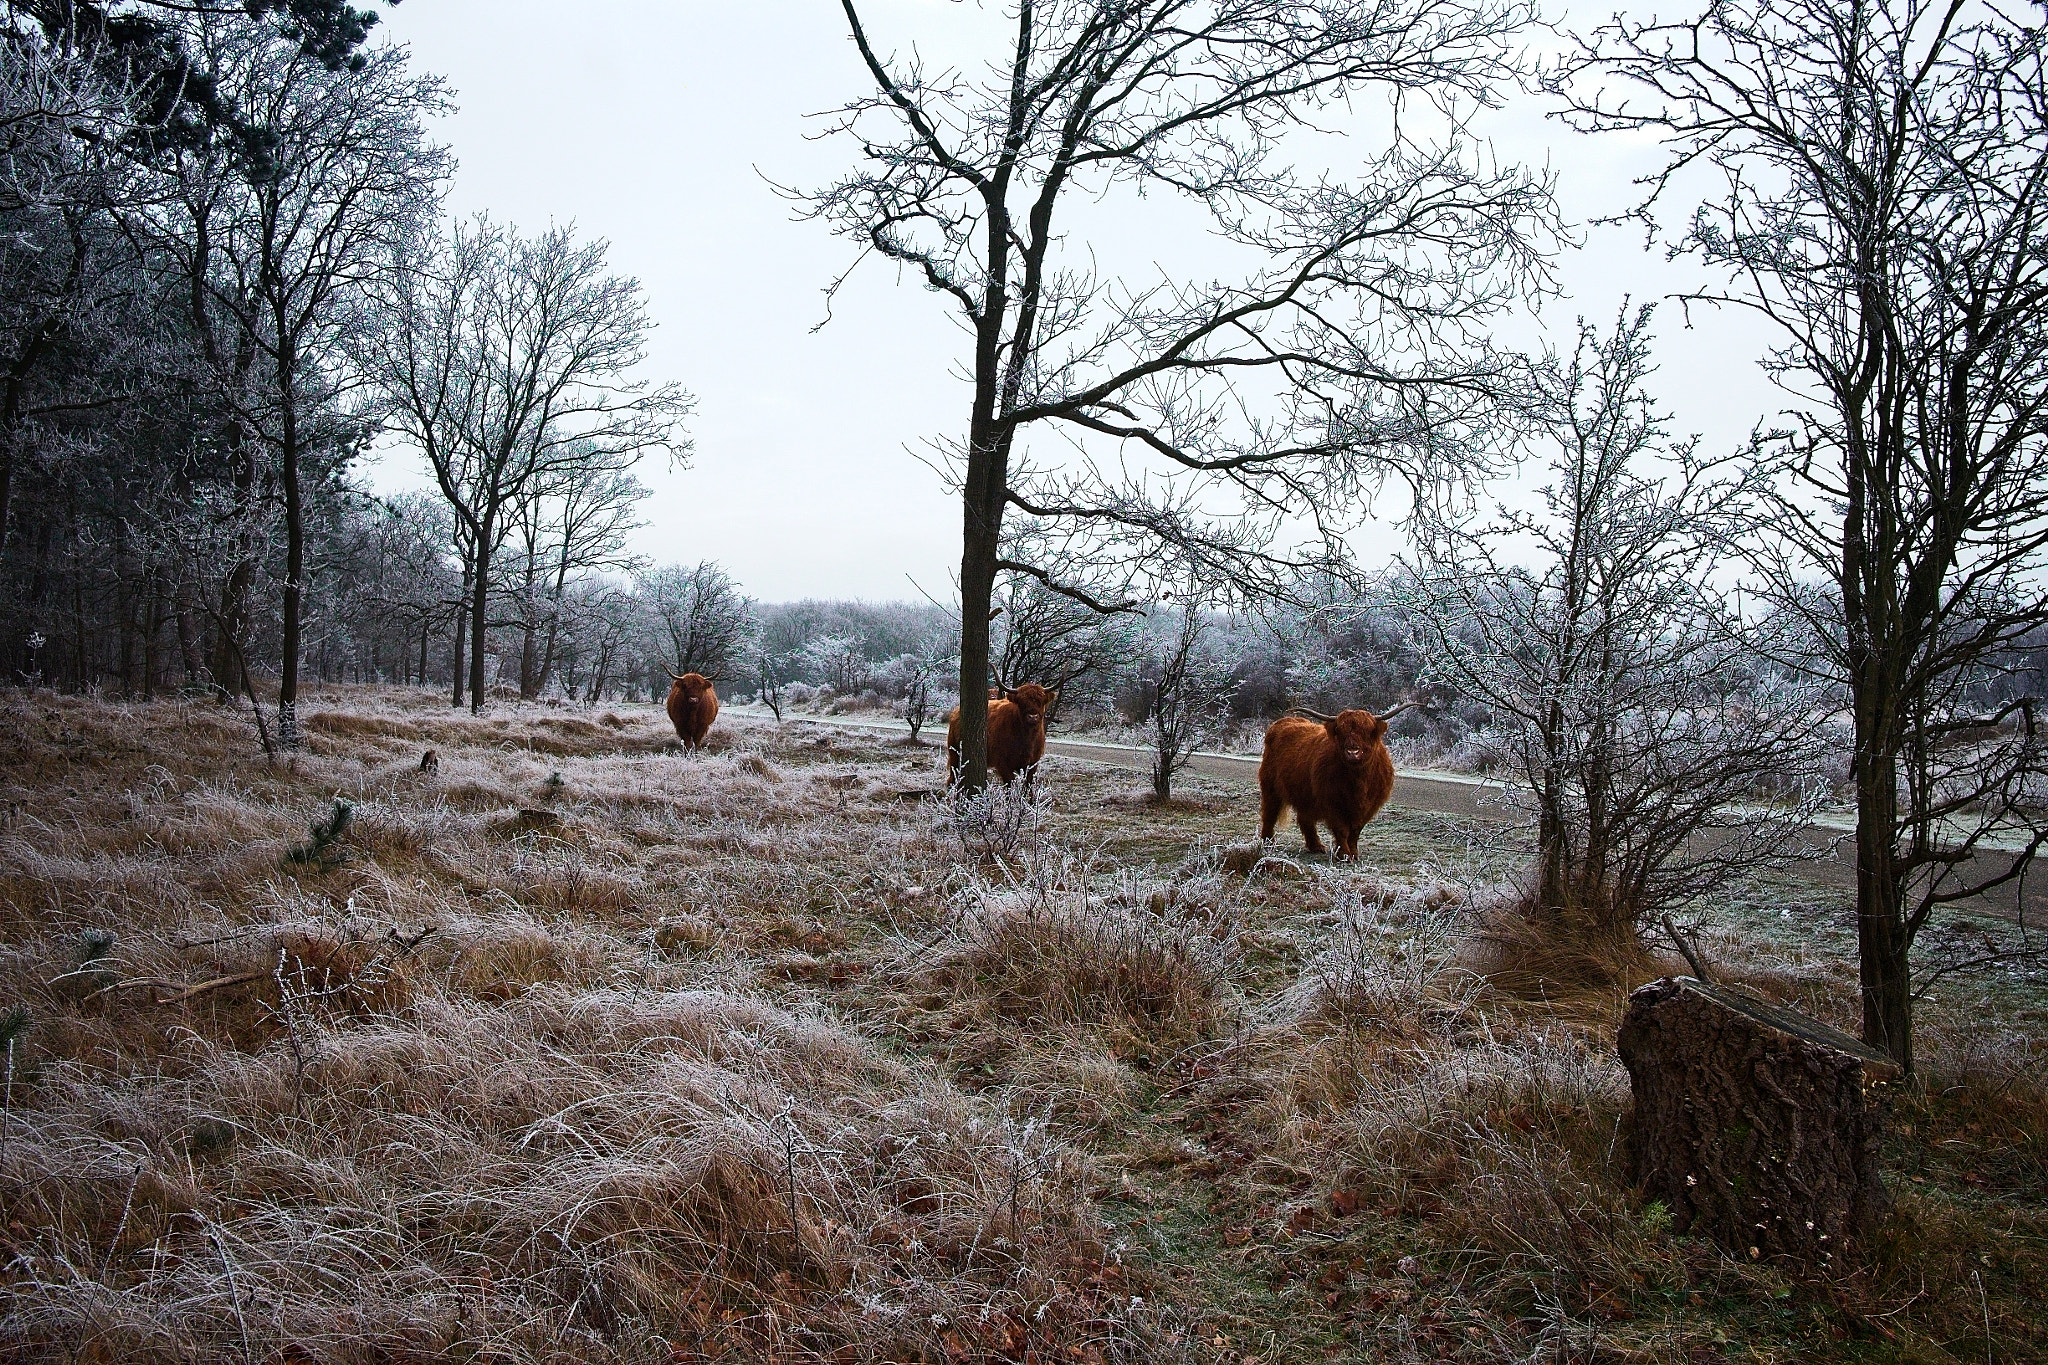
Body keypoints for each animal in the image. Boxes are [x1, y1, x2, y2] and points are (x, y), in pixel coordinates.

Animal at [1253, 712, 1400, 859]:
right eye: (1340, 731)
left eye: (1367, 730)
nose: (1352, 752)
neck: (1358, 780)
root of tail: (1284, 721)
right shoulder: (1332, 803)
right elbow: (1341, 830)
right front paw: (1344, 855)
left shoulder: (1368, 807)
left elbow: (1355, 831)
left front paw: (1354, 854)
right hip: (1271, 788)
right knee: (1269, 815)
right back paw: (1267, 843)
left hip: (1304, 795)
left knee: (1304, 818)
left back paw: (1316, 846)